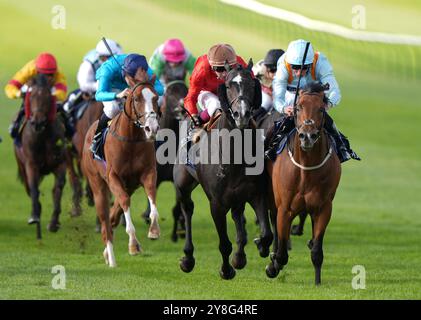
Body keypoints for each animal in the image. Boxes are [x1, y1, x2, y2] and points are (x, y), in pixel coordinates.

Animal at [12, 74, 67, 239]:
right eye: (31, 97)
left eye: (48, 97)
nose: (38, 122)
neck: (42, 136)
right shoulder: (31, 165)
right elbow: (34, 188)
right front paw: (35, 215)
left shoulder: (59, 163)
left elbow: (58, 188)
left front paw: (54, 222)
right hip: (22, 166)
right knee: (29, 189)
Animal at [81, 81, 160, 266]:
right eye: (136, 98)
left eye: (155, 97)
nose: (152, 128)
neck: (131, 140)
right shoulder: (113, 177)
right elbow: (124, 202)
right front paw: (133, 244)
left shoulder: (148, 173)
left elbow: (151, 194)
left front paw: (153, 230)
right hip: (98, 185)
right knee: (105, 221)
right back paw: (111, 259)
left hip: (129, 186)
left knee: (113, 216)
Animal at [171, 61, 272, 278]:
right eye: (228, 84)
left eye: (252, 83)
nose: (242, 114)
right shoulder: (216, 203)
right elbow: (224, 244)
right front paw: (226, 270)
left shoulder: (256, 193)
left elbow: (267, 234)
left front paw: (257, 247)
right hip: (183, 184)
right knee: (187, 208)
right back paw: (187, 258)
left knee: (237, 215)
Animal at [266, 81, 342, 284]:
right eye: (298, 107)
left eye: (321, 109)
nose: (308, 136)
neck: (306, 169)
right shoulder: (285, 208)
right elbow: (282, 253)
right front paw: (273, 266)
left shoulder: (324, 208)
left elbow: (317, 250)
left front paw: (317, 281)